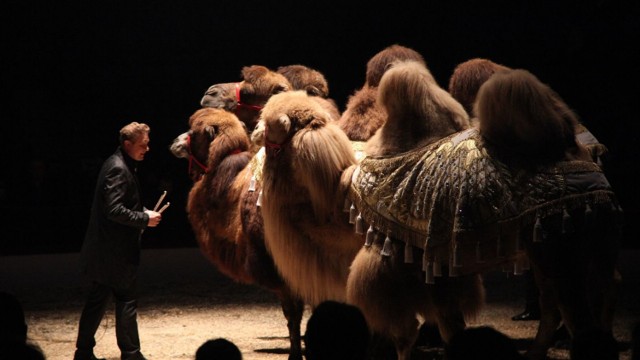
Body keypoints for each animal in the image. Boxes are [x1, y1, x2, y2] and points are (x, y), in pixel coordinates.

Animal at [348, 66, 624, 358]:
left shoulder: (419, 263)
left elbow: (417, 327)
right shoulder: (438, 268)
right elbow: (445, 320)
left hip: (561, 253)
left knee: (575, 312)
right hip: (582, 245)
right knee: (585, 293)